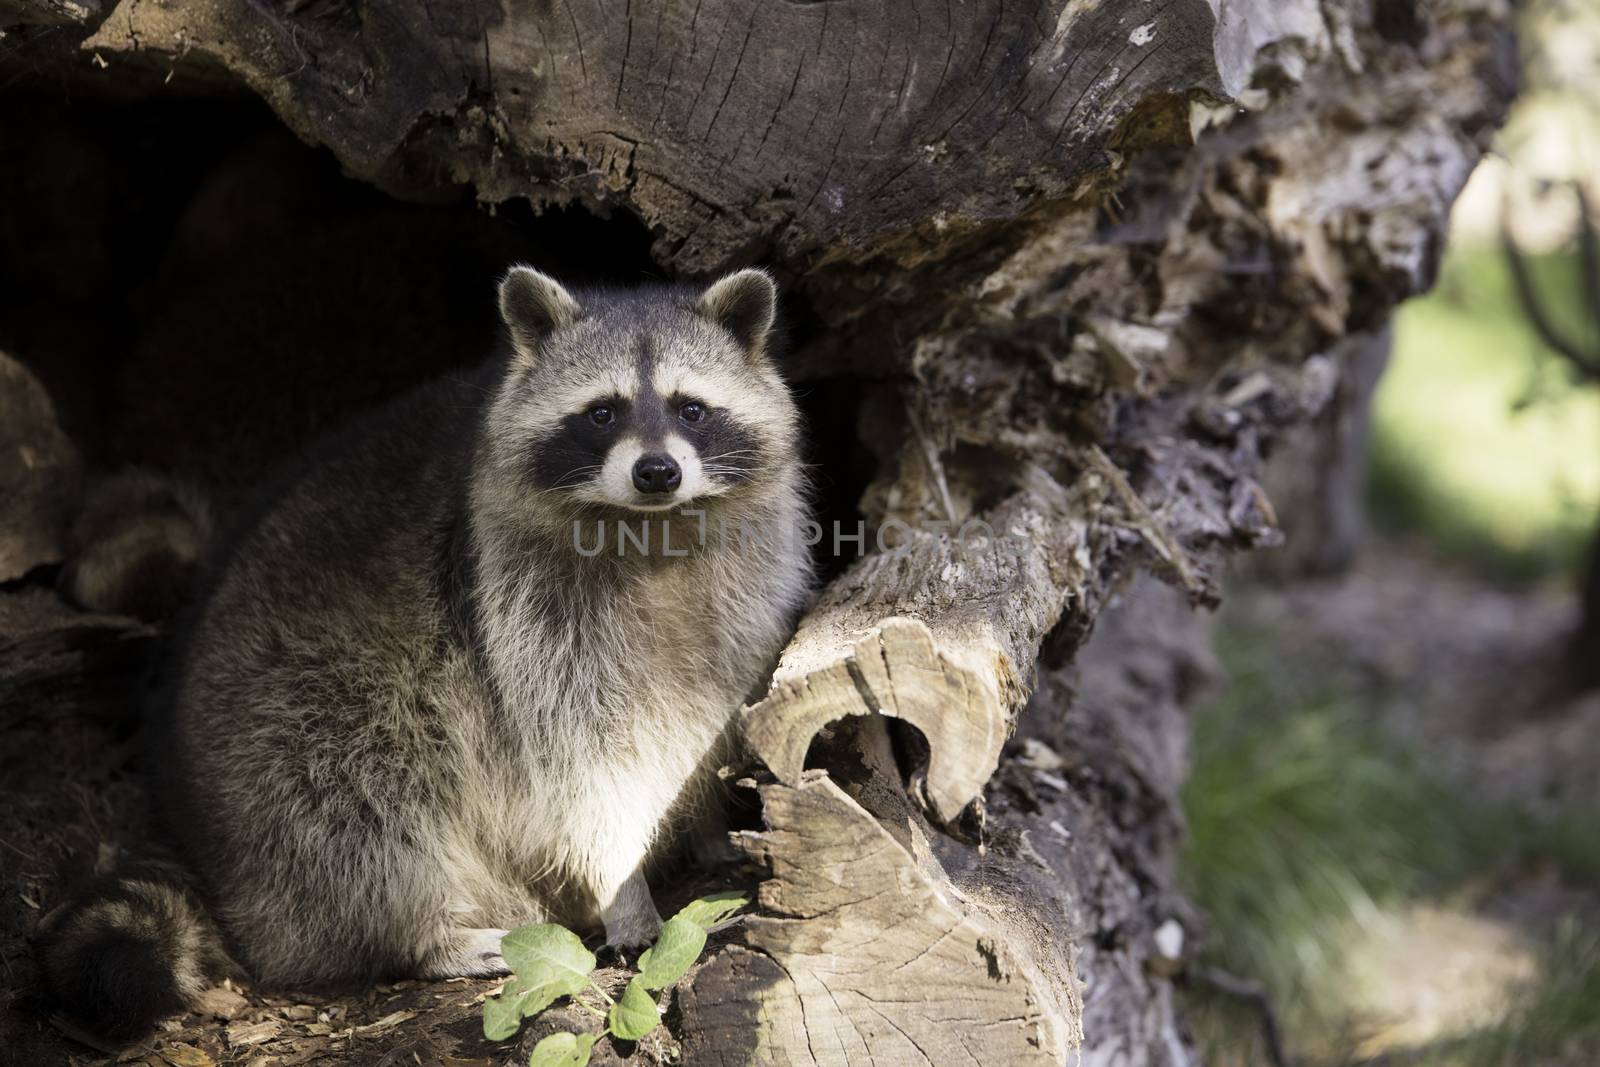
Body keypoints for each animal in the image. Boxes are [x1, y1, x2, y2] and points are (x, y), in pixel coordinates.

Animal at [40, 268, 812, 1043]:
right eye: (602, 413)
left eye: (691, 408)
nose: (657, 471)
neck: (654, 531)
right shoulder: (522, 621)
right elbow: (584, 767)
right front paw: (622, 883)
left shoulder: (740, 595)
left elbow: (705, 713)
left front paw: (707, 817)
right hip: (289, 728)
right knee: (364, 820)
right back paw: (431, 935)